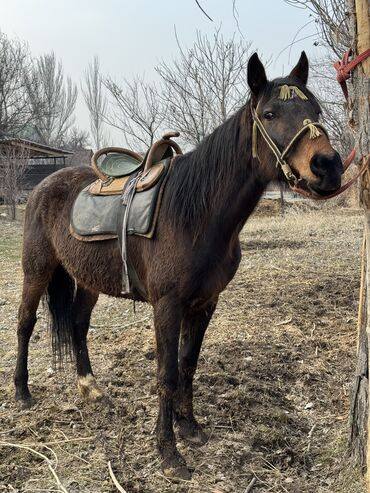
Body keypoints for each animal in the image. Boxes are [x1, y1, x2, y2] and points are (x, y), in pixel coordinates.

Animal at [14, 52, 344, 478]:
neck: (196, 214)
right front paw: (168, 452)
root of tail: (44, 184)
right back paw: (22, 392)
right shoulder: (167, 306)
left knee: (77, 325)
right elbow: (167, 374)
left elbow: (188, 364)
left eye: (315, 110)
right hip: (36, 270)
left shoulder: (204, 304)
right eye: (269, 114)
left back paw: (90, 386)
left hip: (86, 280)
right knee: (25, 323)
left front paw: (190, 427)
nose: (327, 166)